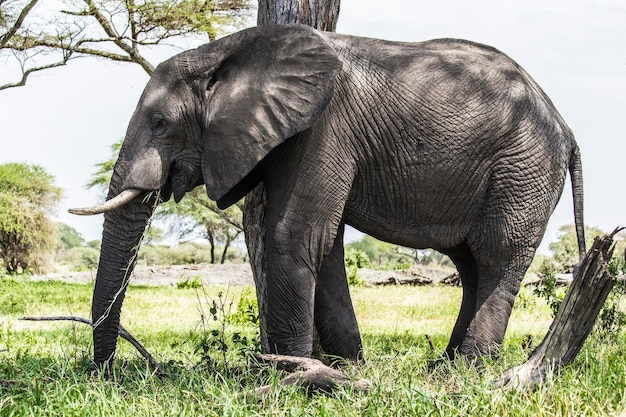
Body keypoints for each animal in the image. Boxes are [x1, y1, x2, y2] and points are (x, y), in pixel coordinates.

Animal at [70, 23, 584, 368]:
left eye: (160, 123)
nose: (111, 372)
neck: (223, 53)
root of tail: (566, 127)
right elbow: (326, 244)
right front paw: (346, 367)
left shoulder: (322, 128)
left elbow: (292, 236)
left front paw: (290, 372)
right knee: (470, 262)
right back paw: (446, 365)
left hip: (524, 168)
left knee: (497, 257)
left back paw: (470, 369)